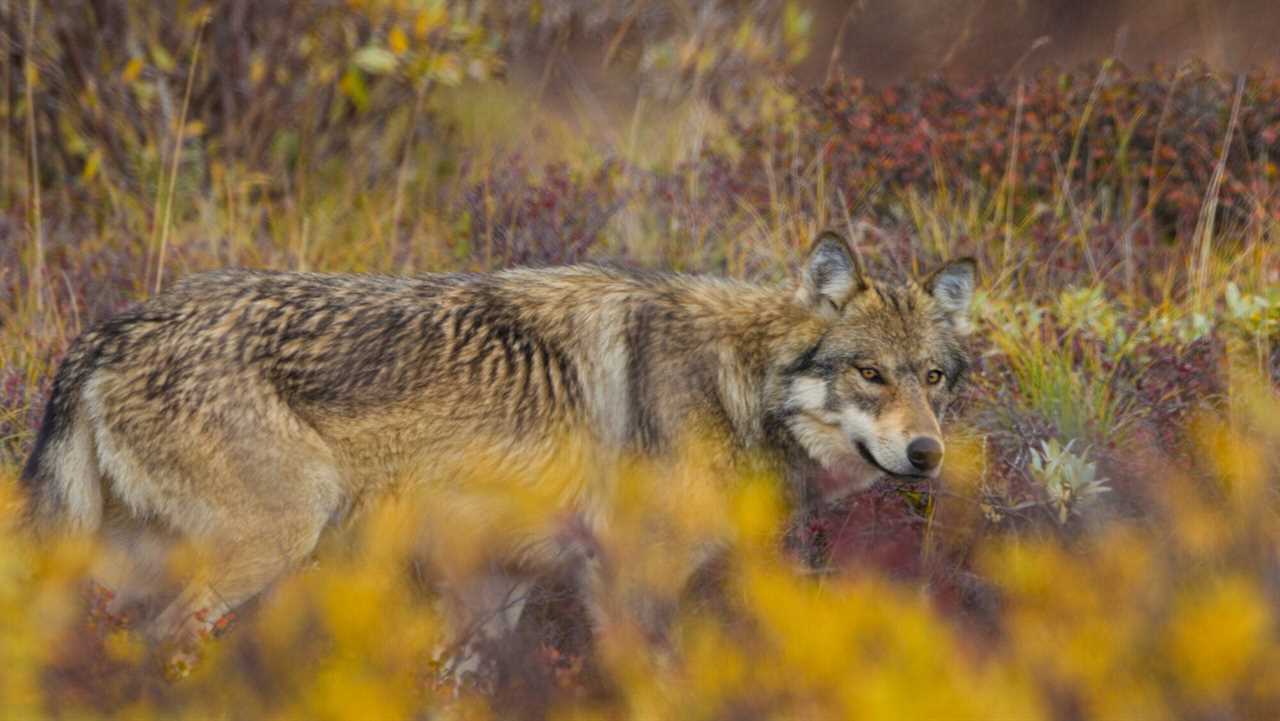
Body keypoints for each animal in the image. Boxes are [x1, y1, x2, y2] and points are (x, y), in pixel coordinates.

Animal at [20, 233, 972, 655]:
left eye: (933, 377)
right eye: (870, 375)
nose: (928, 454)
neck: (732, 378)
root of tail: (102, 335)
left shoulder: (496, 583)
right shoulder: (626, 583)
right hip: (273, 541)